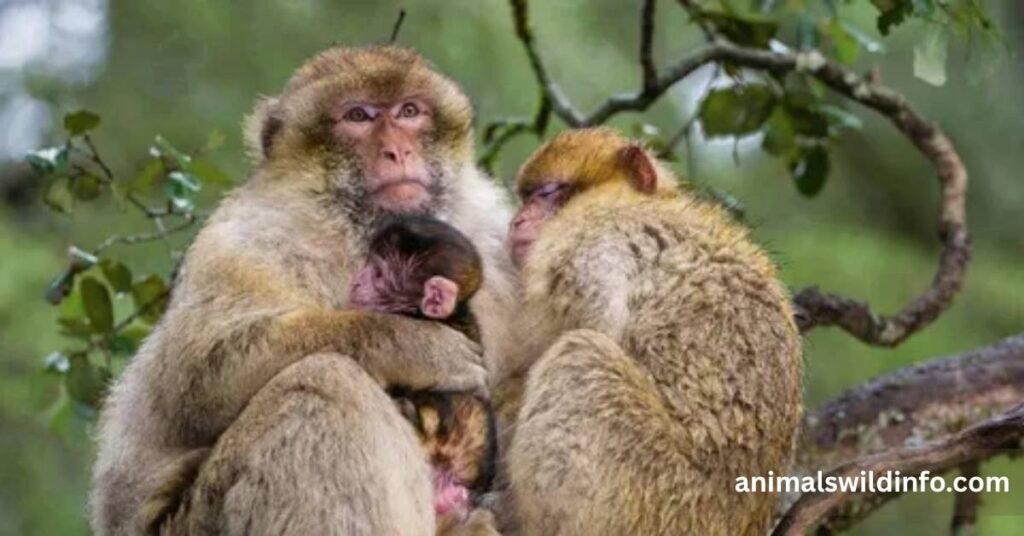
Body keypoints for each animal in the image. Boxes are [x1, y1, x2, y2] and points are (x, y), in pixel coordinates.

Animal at [90, 46, 515, 536]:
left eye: (410, 111)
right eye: (358, 116)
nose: (398, 150)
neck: (350, 228)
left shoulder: (492, 234)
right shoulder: (242, 237)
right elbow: (197, 380)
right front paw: (417, 347)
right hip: (196, 520)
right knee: (323, 380)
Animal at [494, 128, 803, 536]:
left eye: (545, 193)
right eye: (524, 198)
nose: (517, 220)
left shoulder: (587, 230)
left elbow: (593, 322)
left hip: (658, 499)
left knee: (579, 356)